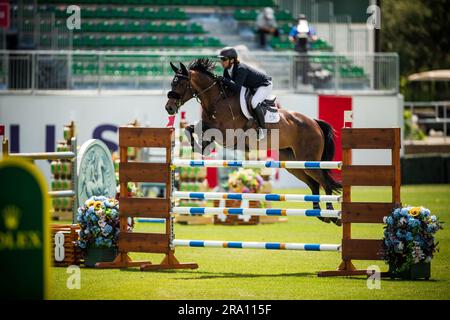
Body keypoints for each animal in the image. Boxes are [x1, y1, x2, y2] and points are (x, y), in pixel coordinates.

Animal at [165, 58, 342, 225]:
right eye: (172, 82)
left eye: (179, 83)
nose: (169, 108)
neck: (217, 100)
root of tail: (314, 122)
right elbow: (190, 129)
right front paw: (199, 146)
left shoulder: (227, 135)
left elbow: (205, 134)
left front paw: (202, 146)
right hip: (294, 163)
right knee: (313, 184)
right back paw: (320, 214)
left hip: (309, 160)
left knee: (325, 183)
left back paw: (333, 216)